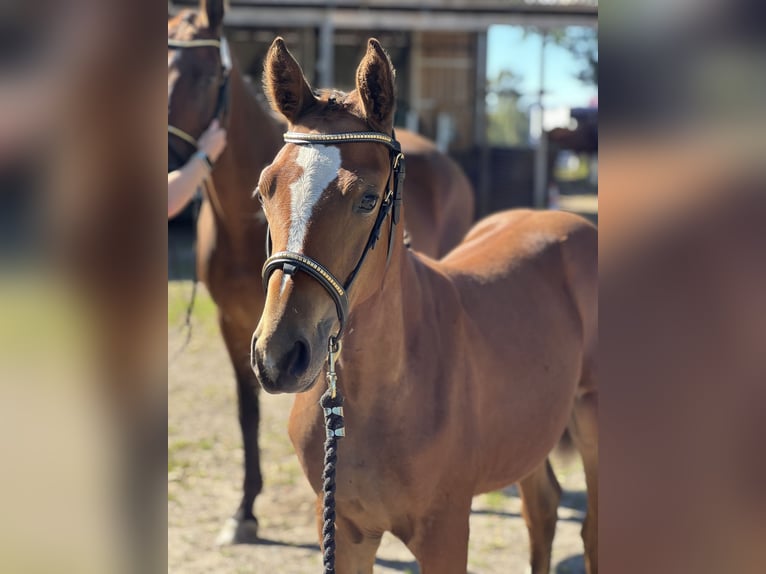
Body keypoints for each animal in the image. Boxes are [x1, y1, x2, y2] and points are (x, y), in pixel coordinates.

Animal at [170, 0, 474, 548]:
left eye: (369, 199)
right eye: (264, 189)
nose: (279, 356)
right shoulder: (236, 324)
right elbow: (247, 412)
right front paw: (244, 511)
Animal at [252, 38, 600, 572]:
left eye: (368, 199)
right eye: (265, 190)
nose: (278, 356)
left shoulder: (445, 533)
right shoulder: (342, 529)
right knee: (542, 510)